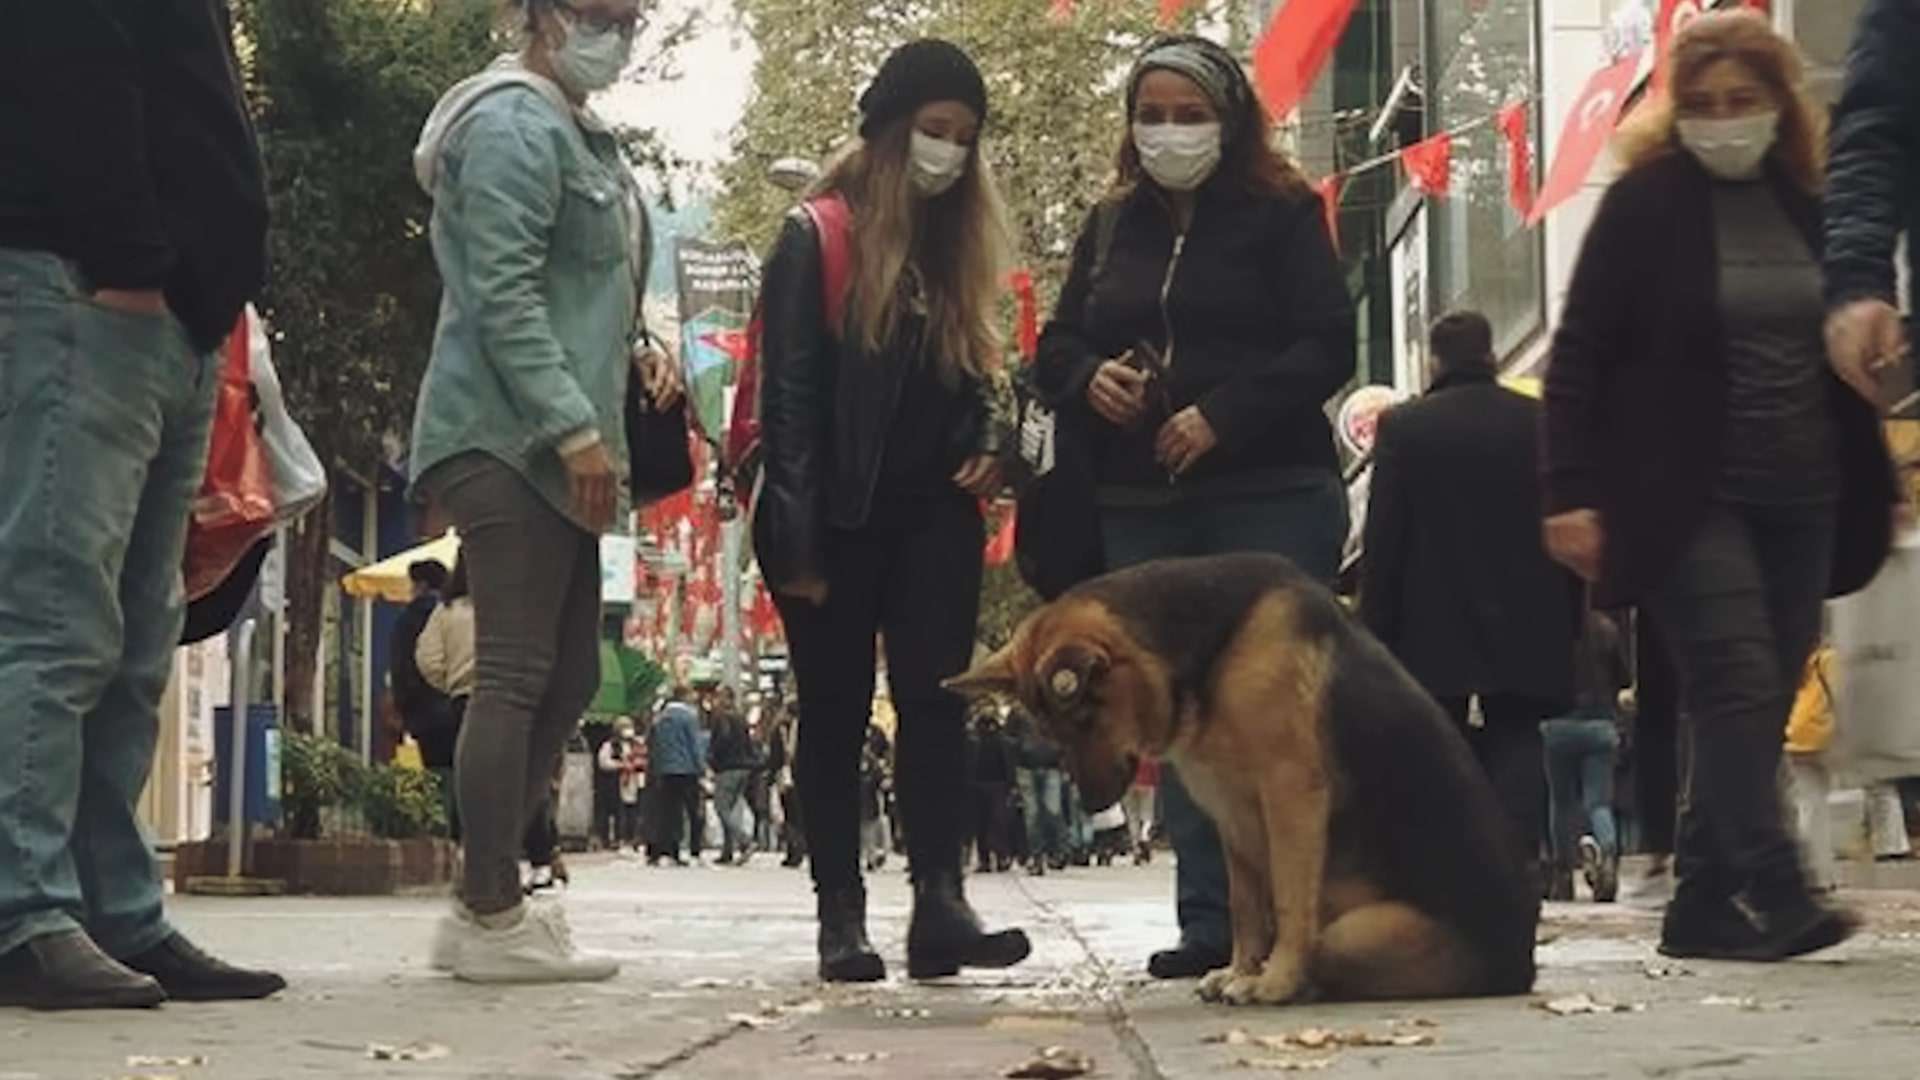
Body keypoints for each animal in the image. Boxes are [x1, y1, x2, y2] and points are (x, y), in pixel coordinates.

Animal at [948, 549, 1543, 1006]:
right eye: (1050, 730)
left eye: (1083, 720)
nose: (1093, 805)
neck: (1211, 654)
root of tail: (1520, 968)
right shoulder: (1231, 814)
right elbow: (1245, 907)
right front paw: (1241, 972)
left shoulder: (1291, 795)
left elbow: (1287, 900)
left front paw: (1274, 981)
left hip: (1354, 933)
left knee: (1329, 950)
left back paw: (1303, 984)